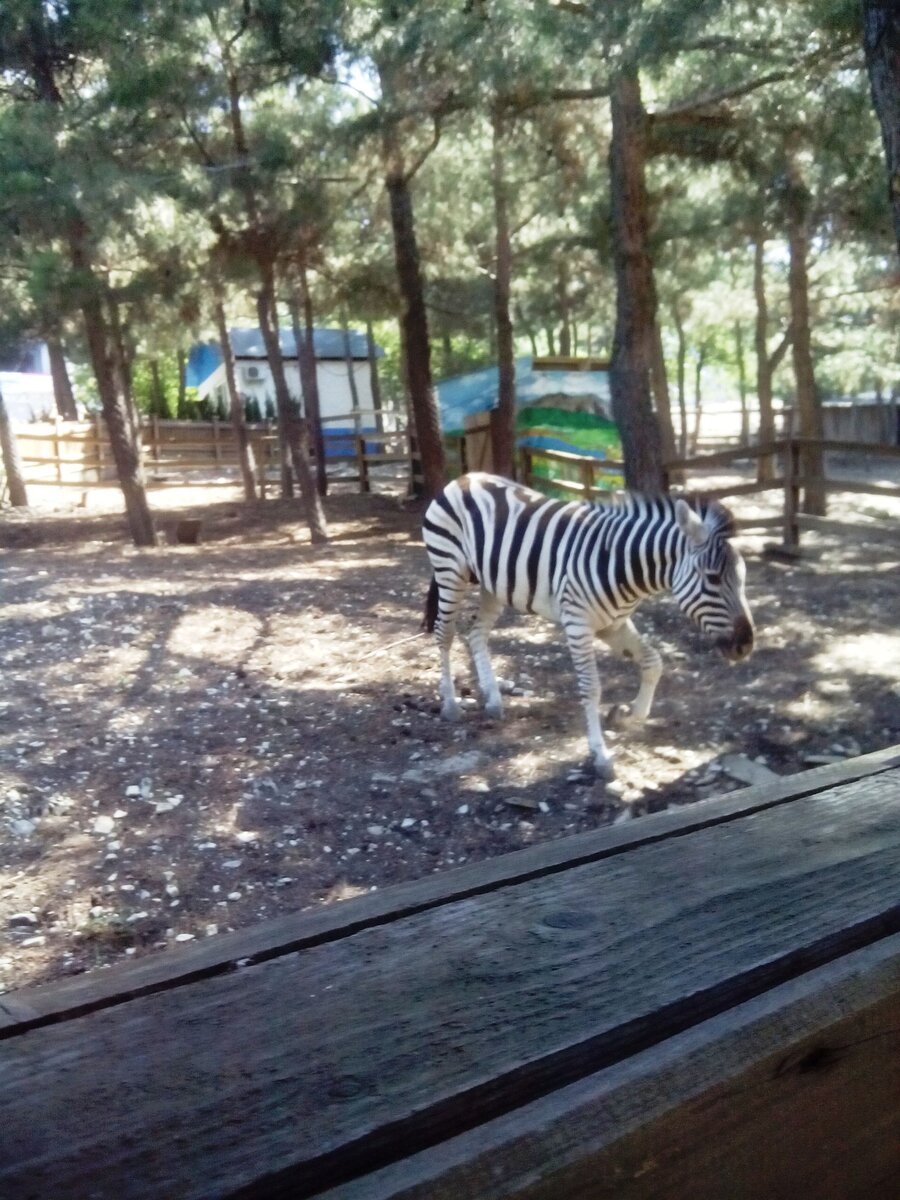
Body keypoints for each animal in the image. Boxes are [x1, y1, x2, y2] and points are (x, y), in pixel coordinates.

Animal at [422, 468, 753, 777]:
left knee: (476, 634)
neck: (621, 565)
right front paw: (600, 754)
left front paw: (626, 714)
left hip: (493, 584)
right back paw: (450, 704)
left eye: (744, 577)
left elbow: (653, 663)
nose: (746, 645)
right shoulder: (578, 624)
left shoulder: (614, 624)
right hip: (450, 570)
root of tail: (465, 477)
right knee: (444, 634)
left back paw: (493, 699)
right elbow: (591, 687)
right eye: (713, 578)